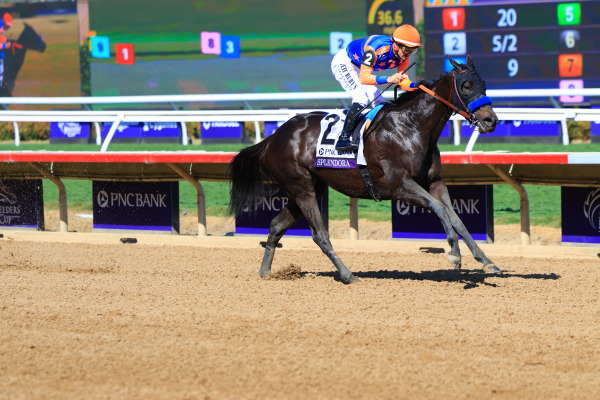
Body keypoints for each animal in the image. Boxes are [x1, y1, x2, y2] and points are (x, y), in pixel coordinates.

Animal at [229, 56, 499, 284]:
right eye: (466, 86)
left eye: (484, 84)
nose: (490, 121)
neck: (412, 127)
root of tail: (273, 138)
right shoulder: (400, 185)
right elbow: (440, 209)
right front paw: (454, 253)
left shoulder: (435, 182)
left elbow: (456, 218)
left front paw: (486, 260)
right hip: (301, 187)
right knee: (319, 235)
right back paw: (347, 274)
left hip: (306, 189)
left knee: (276, 226)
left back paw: (265, 271)